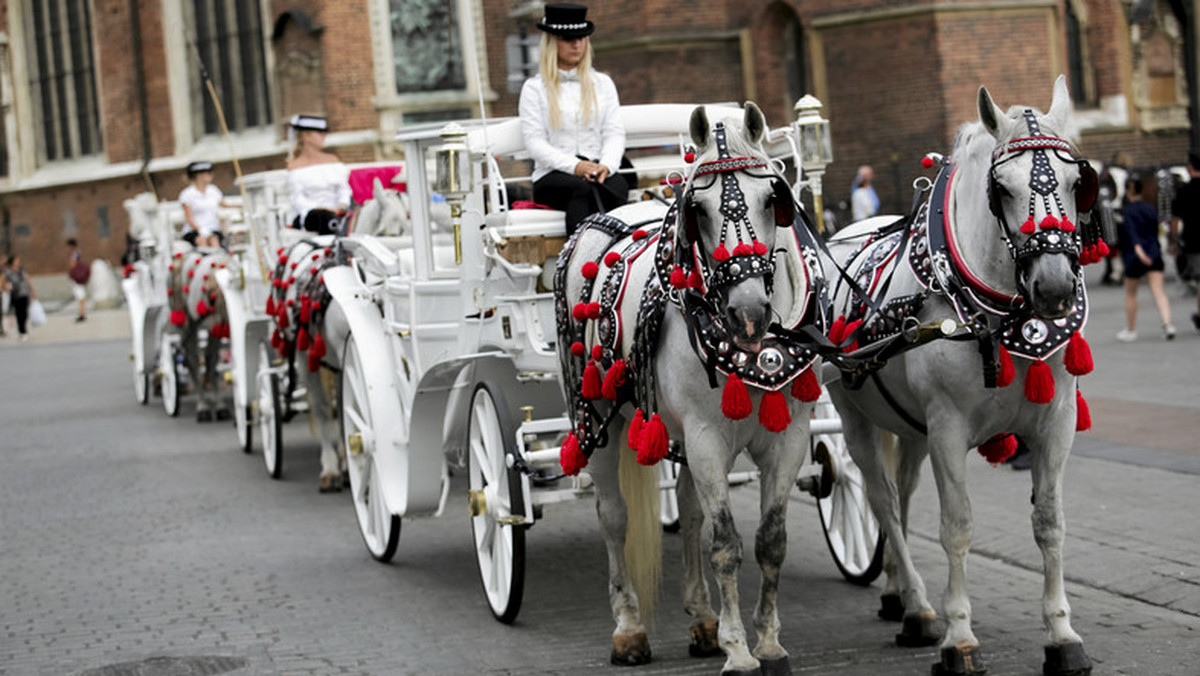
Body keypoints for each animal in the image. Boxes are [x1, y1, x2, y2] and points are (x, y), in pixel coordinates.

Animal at [556, 103, 830, 672]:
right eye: (697, 209)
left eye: (772, 198)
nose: (748, 313)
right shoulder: (706, 437)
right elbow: (725, 544)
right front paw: (739, 652)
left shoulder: (788, 436)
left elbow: (770, 539)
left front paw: (767, 643)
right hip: (597, 416)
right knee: (614, 518)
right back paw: (629, 629)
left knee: (688, 512)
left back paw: (703, 620)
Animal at [825, 76, 1099, 672]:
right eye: (1002, 188)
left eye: (1078, 182)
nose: (1054, 288)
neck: (996, 314)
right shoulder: (948, 428)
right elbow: (957, 527)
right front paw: (959, 637)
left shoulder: (1056, 421)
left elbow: (1050, 523)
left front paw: (1063, 635)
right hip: (854, 416)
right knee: (880, 499)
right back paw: (918, 608)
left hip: (909, 425)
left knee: (901, 494)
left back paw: (895, 591)